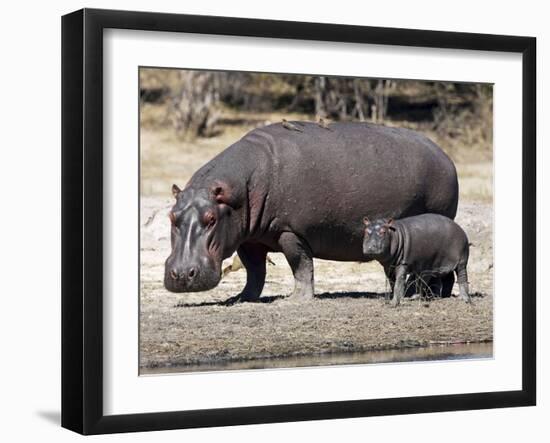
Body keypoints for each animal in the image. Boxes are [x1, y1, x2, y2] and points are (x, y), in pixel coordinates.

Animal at [165, 121, 462, 302]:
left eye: (211, 218)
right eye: (171, 216)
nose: (181, 274)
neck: (238, 191)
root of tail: (446, 157)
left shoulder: (290, 231)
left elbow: (301, 265)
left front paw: (296, 299)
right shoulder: (248, 238)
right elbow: (254, 271)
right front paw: (241, 298)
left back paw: (427, 296)